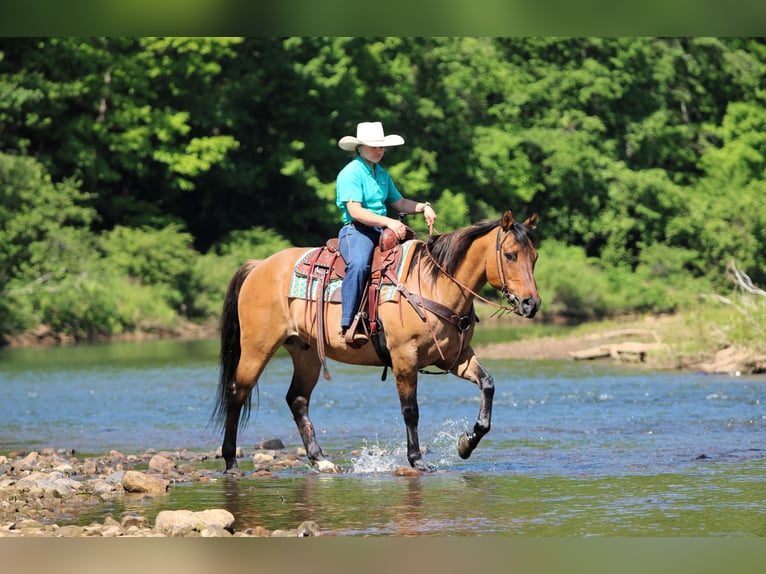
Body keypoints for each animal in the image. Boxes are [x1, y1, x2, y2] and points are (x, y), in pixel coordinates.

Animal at [212, 209, 541, 474]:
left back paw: (321, 460)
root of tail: (259, 266)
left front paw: (466, 443)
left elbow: (487, 385)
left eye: (535, 257)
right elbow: (411, 411)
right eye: (510, 255)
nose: (531, 303)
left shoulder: (455, 358)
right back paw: (231, 461)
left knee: (297, 399)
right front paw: (417, 460)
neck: (434, 284)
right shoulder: (404, 358)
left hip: (305, 353)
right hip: (258, 347)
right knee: (237, 392)